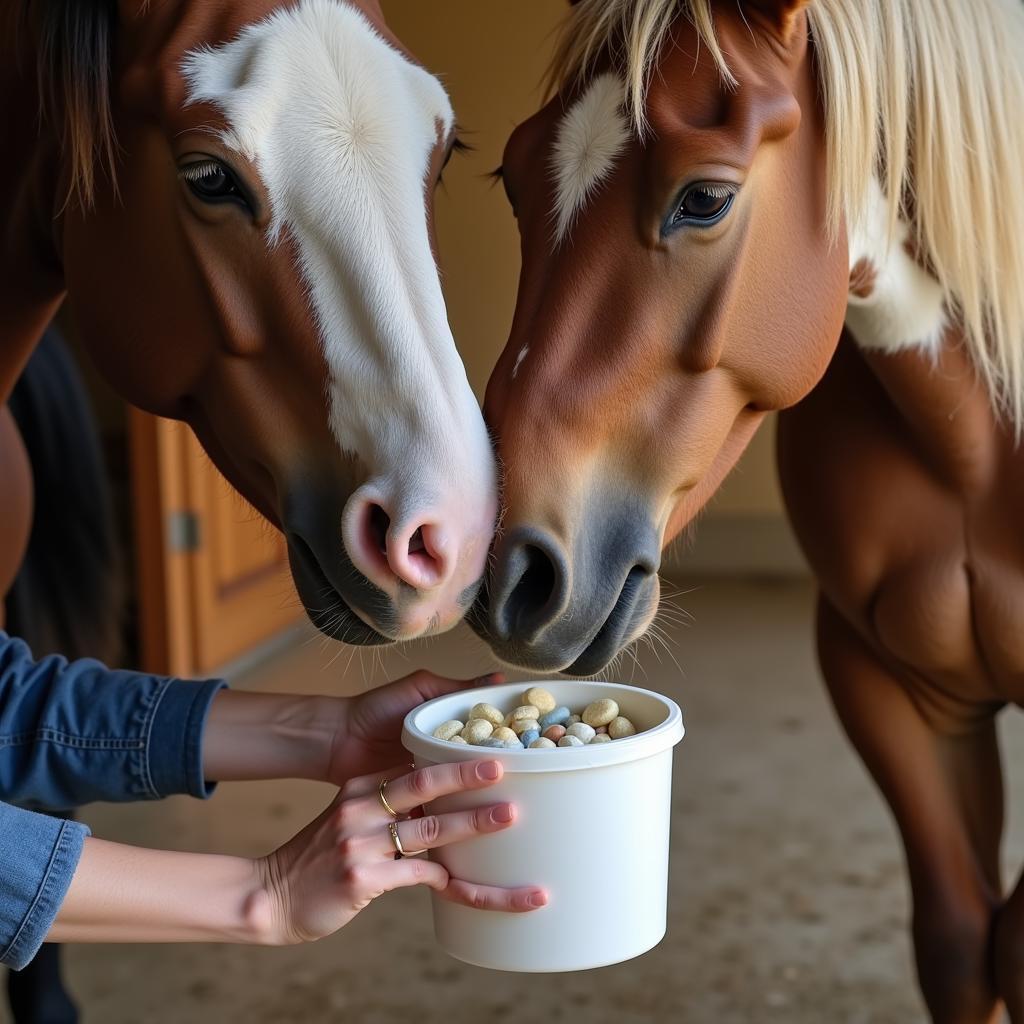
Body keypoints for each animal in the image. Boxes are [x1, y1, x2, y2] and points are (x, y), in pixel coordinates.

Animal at [477, 0, 1024, 1019]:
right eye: (514, 180)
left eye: (704, 198)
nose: (510, 574)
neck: (983, 437)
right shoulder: (893, 686)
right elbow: (963, 943)